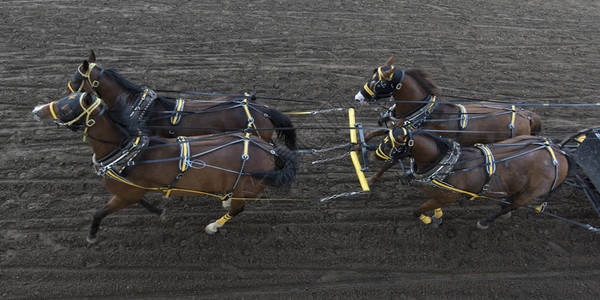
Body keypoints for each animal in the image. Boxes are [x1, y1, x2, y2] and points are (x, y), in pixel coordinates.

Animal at [31, 92, 298, 243]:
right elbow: (144, 203)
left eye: (67, 107)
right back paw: (224, 199)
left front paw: (92, 236)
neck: (130, 153)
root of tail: (272, 151)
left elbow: (100, 212)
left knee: (238, 210)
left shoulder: (126, 194)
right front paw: (160, 211)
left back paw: (213, 226)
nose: (36, 110)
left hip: (247, 186)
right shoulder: (133, 192)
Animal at [354, 55, 540, 184]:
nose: (357, 98)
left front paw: (372, 179)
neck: (426, 112)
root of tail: (527, 115)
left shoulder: (408, 143)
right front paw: (356, 145)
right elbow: (373, 133)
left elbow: (389, 162)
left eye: (378, 84)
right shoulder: (400, 130)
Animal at [372, 126, 568, 227]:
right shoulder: (437, 193)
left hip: (531, 192)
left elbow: (417, 211)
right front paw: (437, 215)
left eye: (390, 144)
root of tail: (559, 152)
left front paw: (428, 219)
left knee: (514, 205)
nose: (374, 156)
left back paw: (486, 220)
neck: (447, 164)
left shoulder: (446, 196)